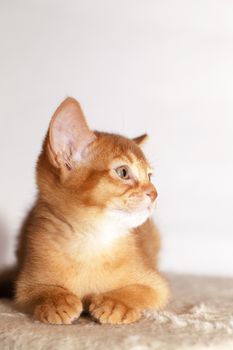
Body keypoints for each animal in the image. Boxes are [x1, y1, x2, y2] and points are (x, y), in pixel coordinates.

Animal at [1, 97, 170, 324]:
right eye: (123, 172)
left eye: (149, 176)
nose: (154, 193)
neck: (90, 239)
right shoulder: (26, 284)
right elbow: (40, 290)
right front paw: (57, 301)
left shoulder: (155, 284)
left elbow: (139, 291)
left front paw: (115, 303)